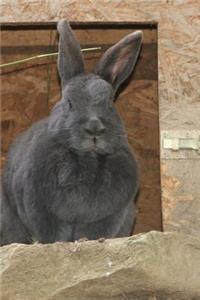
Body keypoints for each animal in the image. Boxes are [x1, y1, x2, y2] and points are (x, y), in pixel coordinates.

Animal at [1, 21, 142, 246]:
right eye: (69, 103)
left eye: (110, 103)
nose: (94, 128)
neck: (87, 159)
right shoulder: (40, 209)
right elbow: (53, 234)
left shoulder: (109, 214)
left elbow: (95, 232)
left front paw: (87, 241)